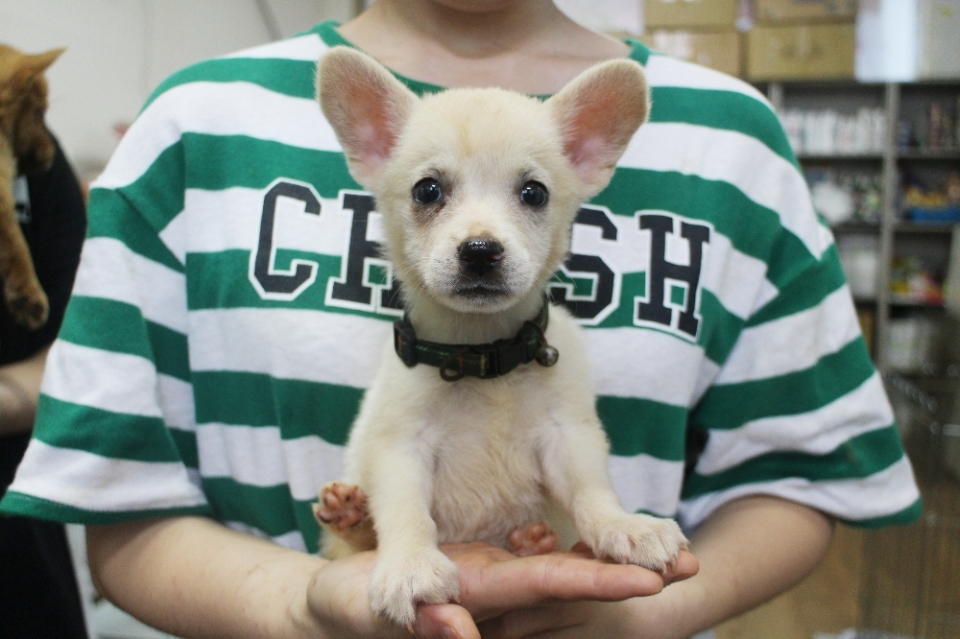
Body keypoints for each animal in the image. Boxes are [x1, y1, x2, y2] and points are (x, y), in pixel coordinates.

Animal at [312, 47, 688, 628]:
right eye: (428, 190)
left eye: (533, 193)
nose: (481, 250)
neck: (481, 354)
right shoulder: (400, 448)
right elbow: (405, 514)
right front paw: (409, 566)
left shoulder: (568, 438)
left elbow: (592, 492)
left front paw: (625, 527)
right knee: (357, 534)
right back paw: (350, 516)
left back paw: (530, 542)